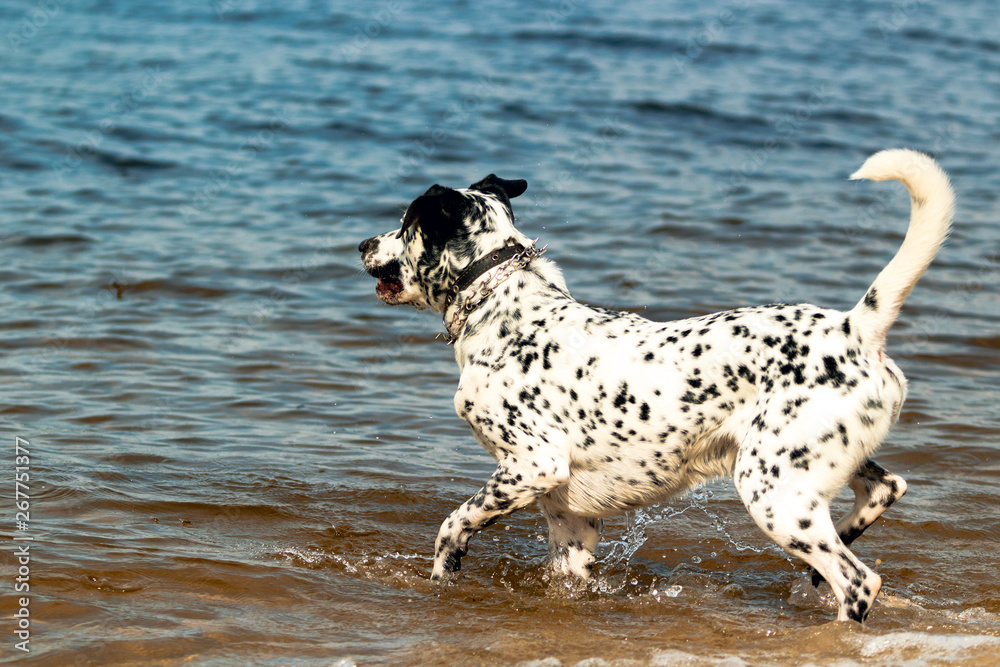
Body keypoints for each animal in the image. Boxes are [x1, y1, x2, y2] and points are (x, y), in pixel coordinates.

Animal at [358, 151, 952, 628]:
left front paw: (447, 568)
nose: (363, 243)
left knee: (859, 582)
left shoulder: (533, 465)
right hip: (814, 473)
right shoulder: (568, 518)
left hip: (773, 492)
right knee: (885, 489)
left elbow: (451, 526)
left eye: (406, 223)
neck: (506, 307)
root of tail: (854, 328)